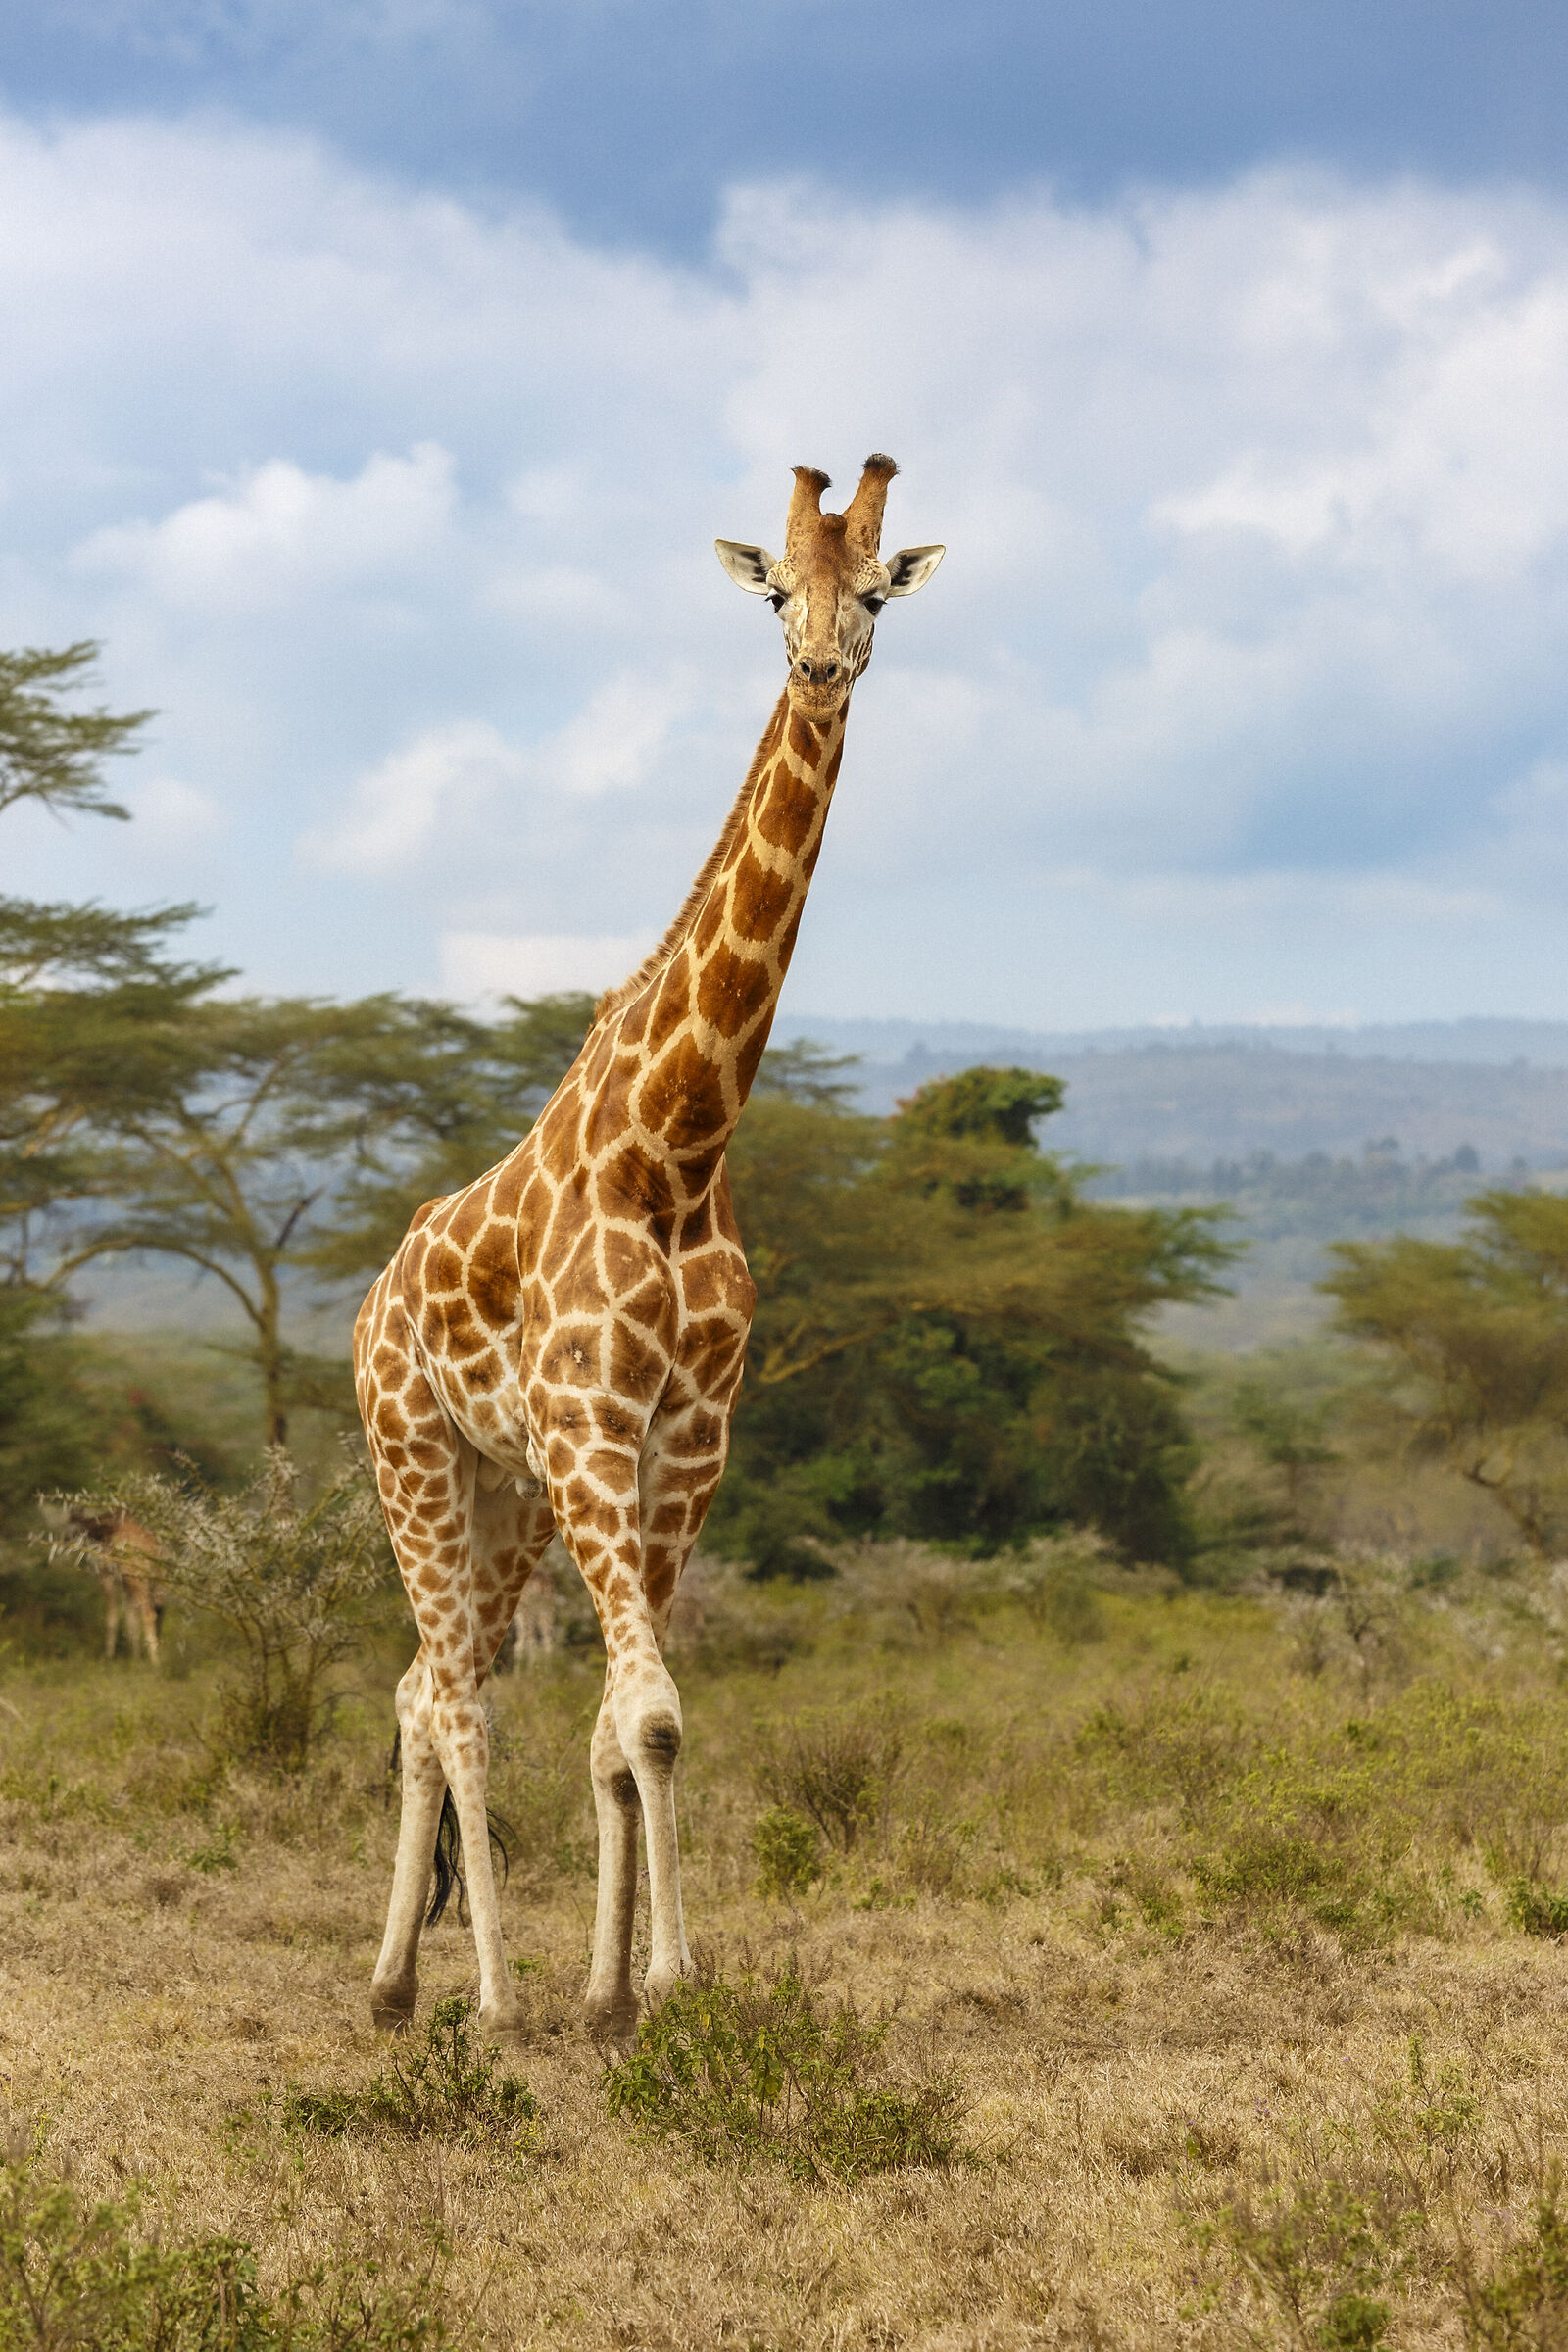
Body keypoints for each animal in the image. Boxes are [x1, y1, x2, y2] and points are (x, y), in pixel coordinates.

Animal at [354, 455, 944, 2044]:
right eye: (773, 593)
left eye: (876, 595)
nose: (821, 665)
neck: (677, 1145)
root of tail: (371, 1296)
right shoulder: (592, 1421)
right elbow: (653, 1714)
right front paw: (659, 1984)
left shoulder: (686, 1438)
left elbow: (630, 1726)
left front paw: (620, 1993)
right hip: (413, 1456)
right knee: (457, 1699)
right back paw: (487, 2005)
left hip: (502, 1492)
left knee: (421, 1686)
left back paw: (395, 1983)